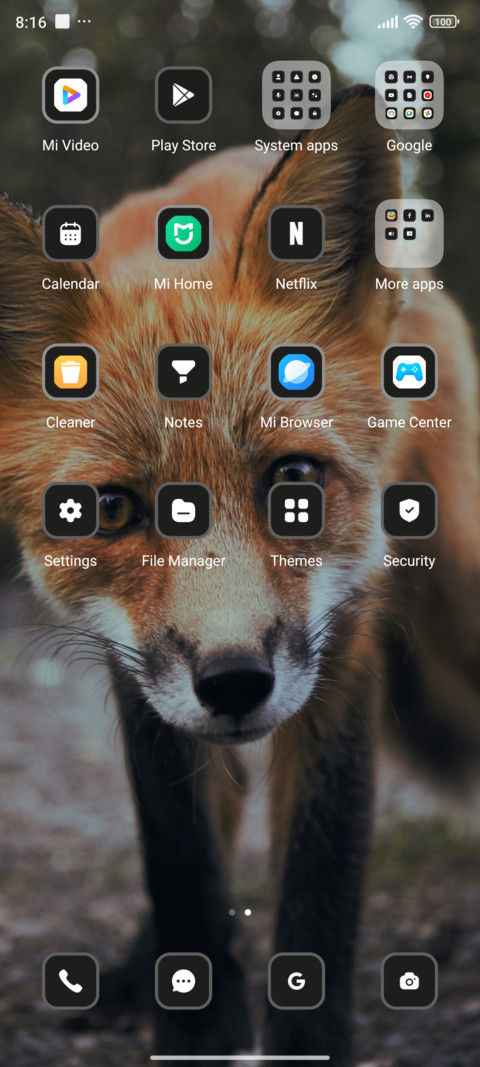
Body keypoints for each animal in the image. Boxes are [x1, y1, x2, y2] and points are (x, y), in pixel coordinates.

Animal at [1, 86, 480, 1064]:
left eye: (294, 480)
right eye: (112, 510)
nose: (233, 682)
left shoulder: (344, 643)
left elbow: (320, 879)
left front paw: (306, 1040)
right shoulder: (134, 666)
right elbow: (181, 859)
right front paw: (195, 1025)